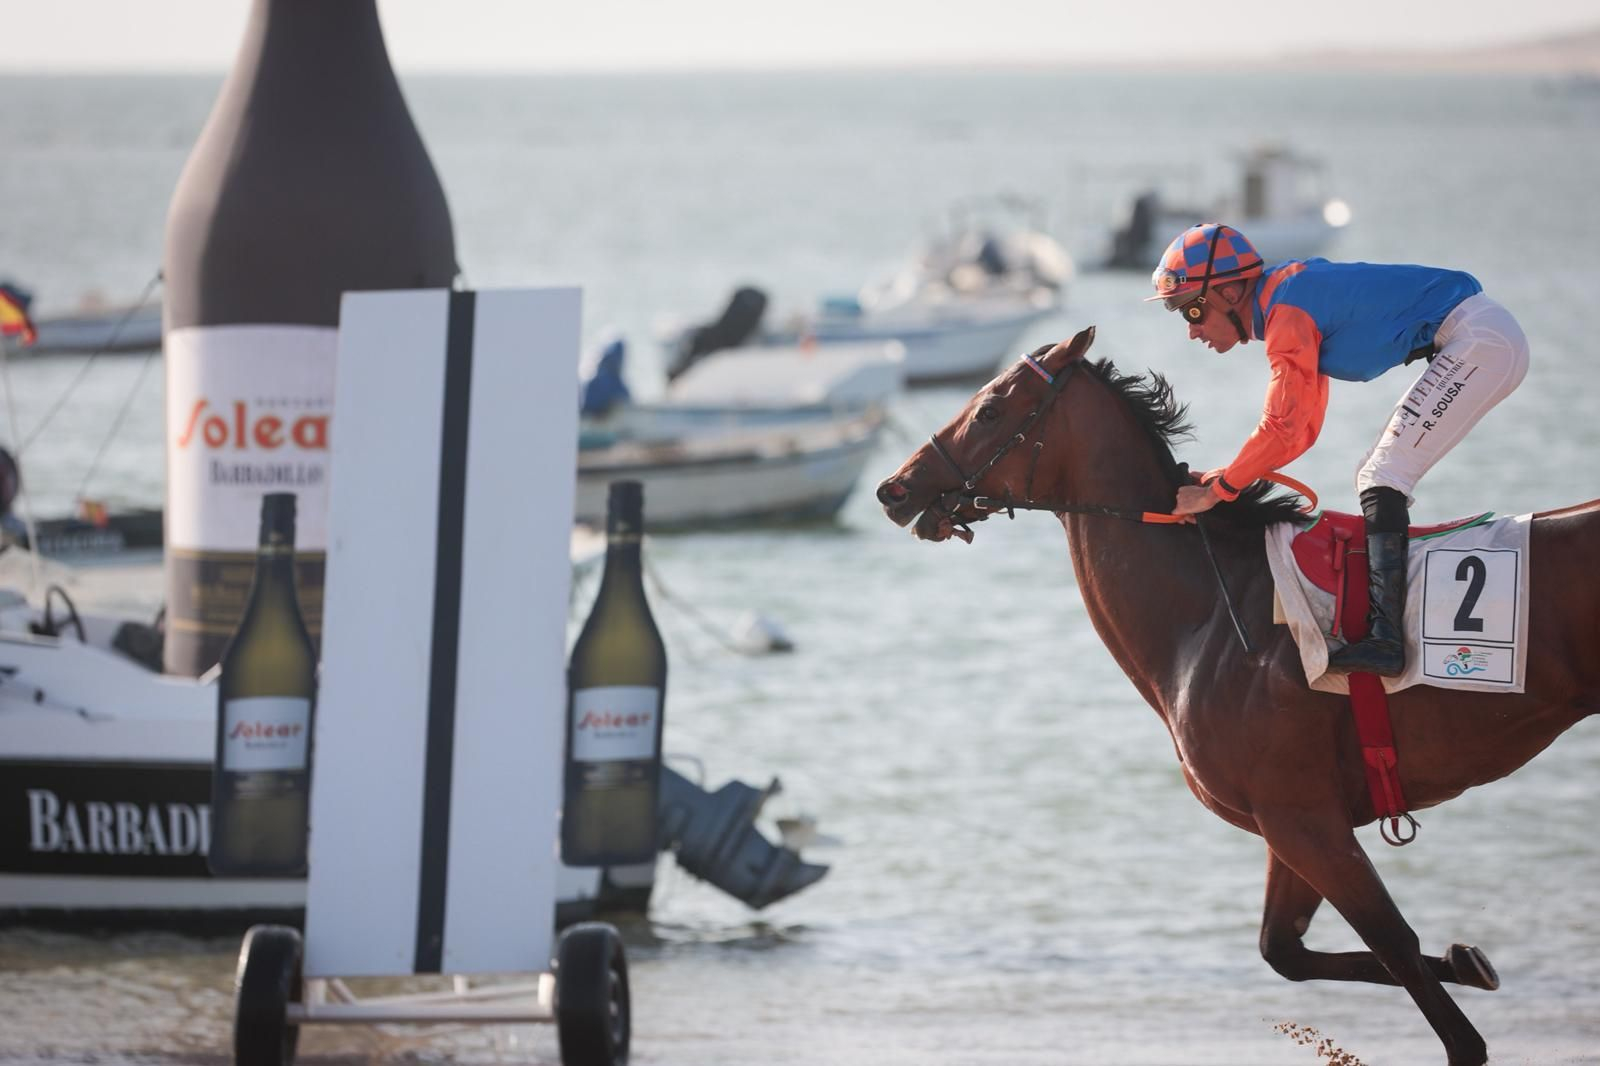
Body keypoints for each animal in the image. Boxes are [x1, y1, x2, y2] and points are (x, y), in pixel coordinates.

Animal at [874, 326, 1600, 1066]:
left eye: (991, 410)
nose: (893, 489)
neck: (1214, 616)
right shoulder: (1293, 820)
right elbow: (1284, 950)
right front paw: (1465, 960)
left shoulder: (1304, 819)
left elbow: (1406, 962)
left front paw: (1457, 973)